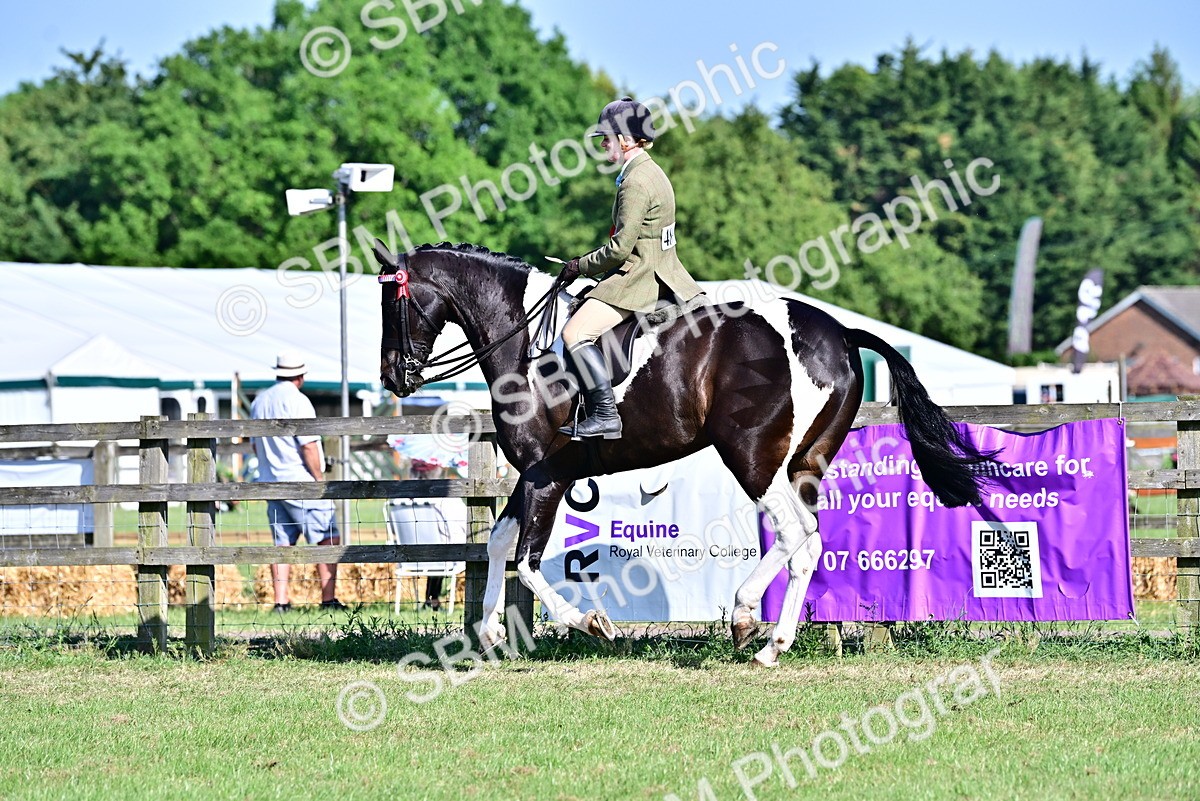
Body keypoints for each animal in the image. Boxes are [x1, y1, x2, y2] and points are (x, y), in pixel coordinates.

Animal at [374, 240, 995, 667]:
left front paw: (589, 621)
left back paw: (751, 625)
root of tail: (841, 333)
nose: (394, 378)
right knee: (809, 541)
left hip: (753, 457)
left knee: (793, 534)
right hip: (801, 464)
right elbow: (500, 545)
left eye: (392, 302)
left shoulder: (546, 473)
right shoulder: (534, 476)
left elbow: (526, 560)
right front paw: (492, 634)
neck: (526, 346)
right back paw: (769, 637)